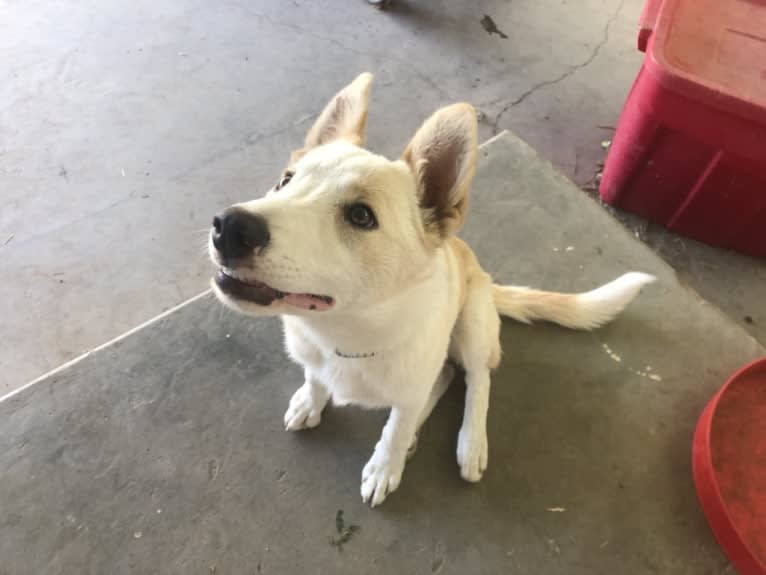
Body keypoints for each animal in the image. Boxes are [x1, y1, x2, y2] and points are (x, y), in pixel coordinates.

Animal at [208, 73, 656, 508]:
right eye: (285, 181)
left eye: (360, 215)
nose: (228, 227)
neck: (347, 336)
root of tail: (482, 273)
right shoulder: (317, 357)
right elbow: (317, 378)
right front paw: (310, 399)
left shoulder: (409, 389)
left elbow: (398, 424)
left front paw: (386, 464)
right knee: (445, 375)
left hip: (473, 321)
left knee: (477, 378)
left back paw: (470, 442)